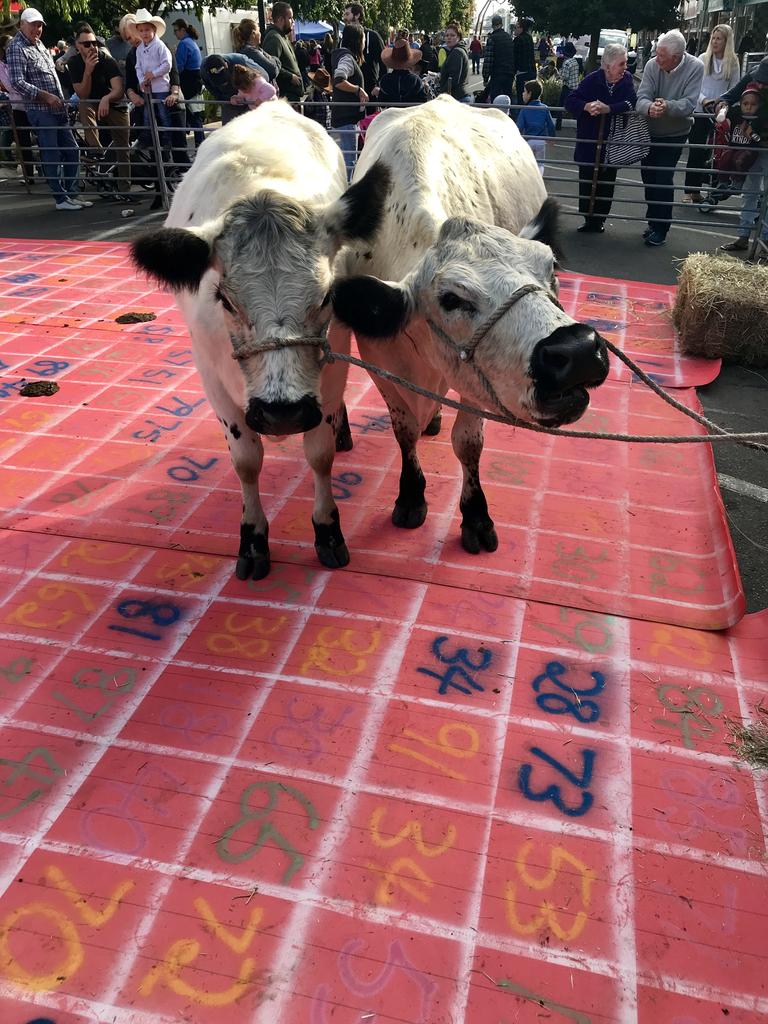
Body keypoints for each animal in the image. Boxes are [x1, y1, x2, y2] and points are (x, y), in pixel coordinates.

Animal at [132, 108, 391, 585]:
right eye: (225, 300)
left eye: (326, 296)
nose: (282, 412)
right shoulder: (212, 378)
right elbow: (246, 461)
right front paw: (252, 538)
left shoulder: (331, 372)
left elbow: (320, 454)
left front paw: (327, 530)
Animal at [327, 97, 610, 552]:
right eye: (451, 299)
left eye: (549, 267)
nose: (579, 349)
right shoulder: (380, 362)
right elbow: (404, 431)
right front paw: (410, 496)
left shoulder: (477, 384)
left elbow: (468, 443)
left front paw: (476, 516)